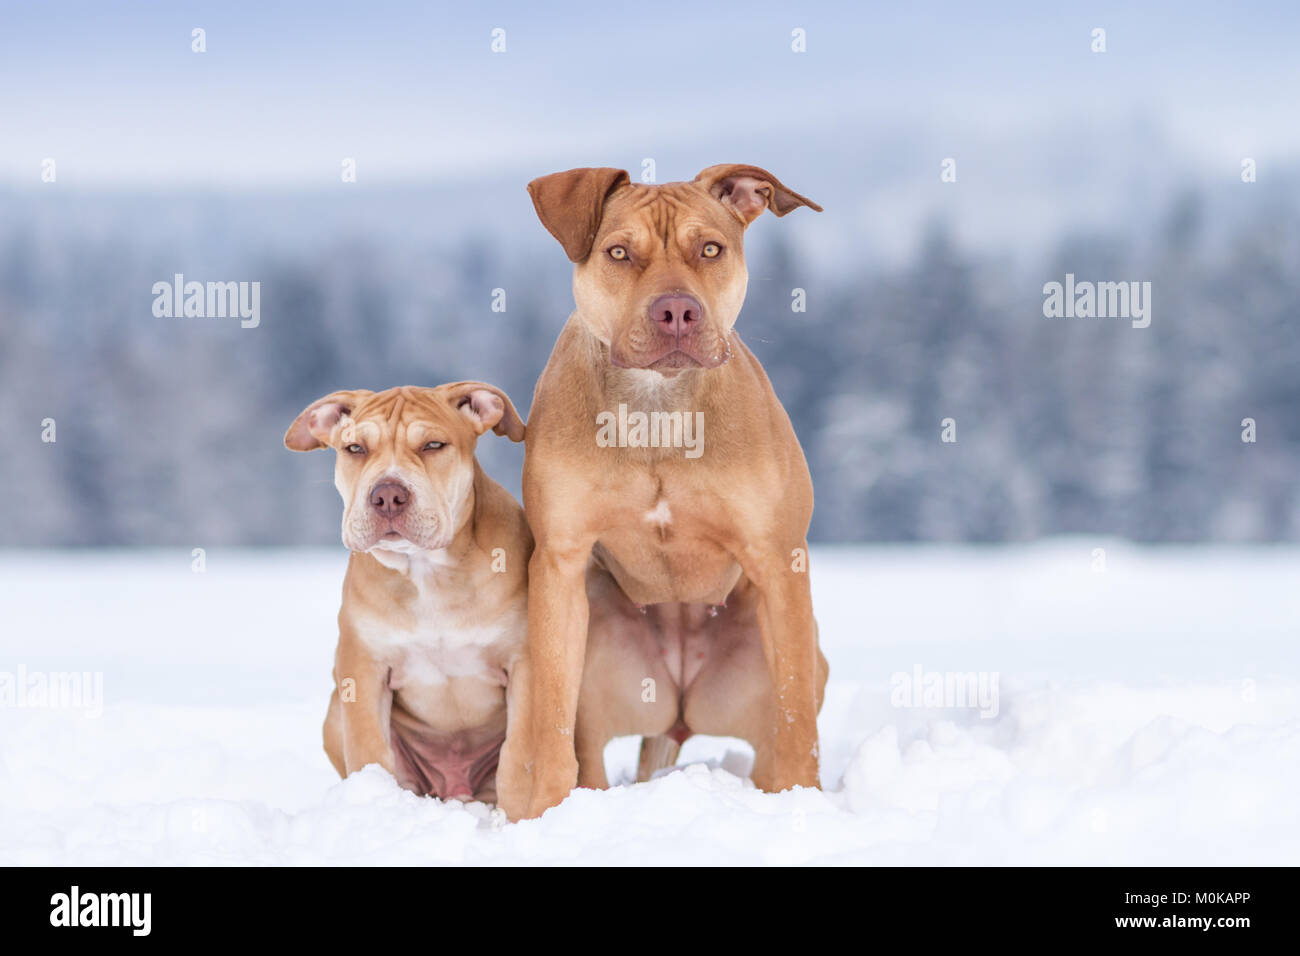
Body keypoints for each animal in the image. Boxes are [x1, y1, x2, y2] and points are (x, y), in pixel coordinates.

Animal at [284, 382, 527, 801]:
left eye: (433, 445)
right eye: (355, 448)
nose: (387, 495)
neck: (425, 571)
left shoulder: (522, 659)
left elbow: (524, 749)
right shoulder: (364, 669)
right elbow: (370, 748)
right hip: (335, 712)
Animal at [496, 164, 832, 822]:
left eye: (711, 249)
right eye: (619, 253)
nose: (677, 309)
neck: (657, 408)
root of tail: (678, 710)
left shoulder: (779, 562)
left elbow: (796, 718)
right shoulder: (560, 565)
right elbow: (550, 715)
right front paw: (546, 809)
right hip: (601, 652)